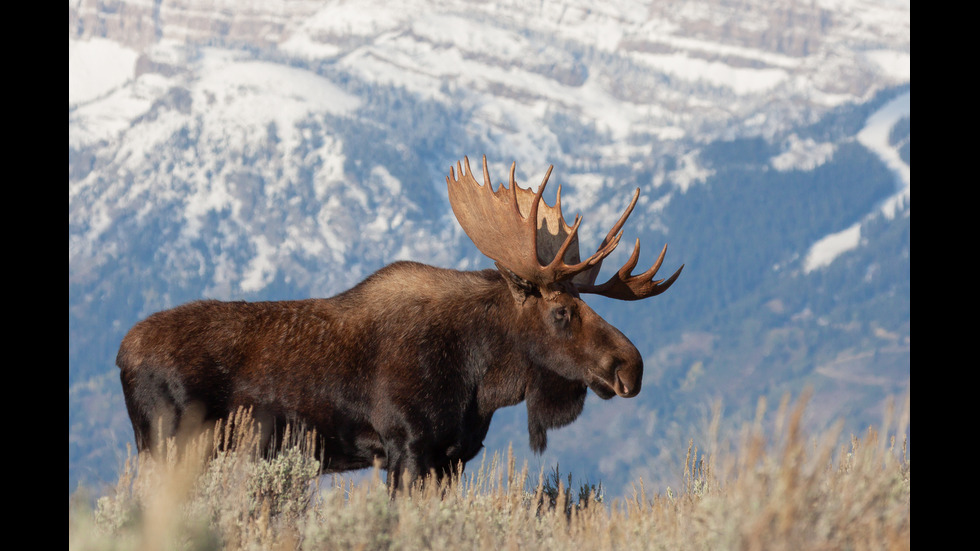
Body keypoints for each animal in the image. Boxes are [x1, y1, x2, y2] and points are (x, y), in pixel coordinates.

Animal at [117, 155, 680, 492]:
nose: (631, 367)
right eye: (561, 311)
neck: (481, 380)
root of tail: (120, 354)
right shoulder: (407, 447)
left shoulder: (453, 457)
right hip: (168, 447)